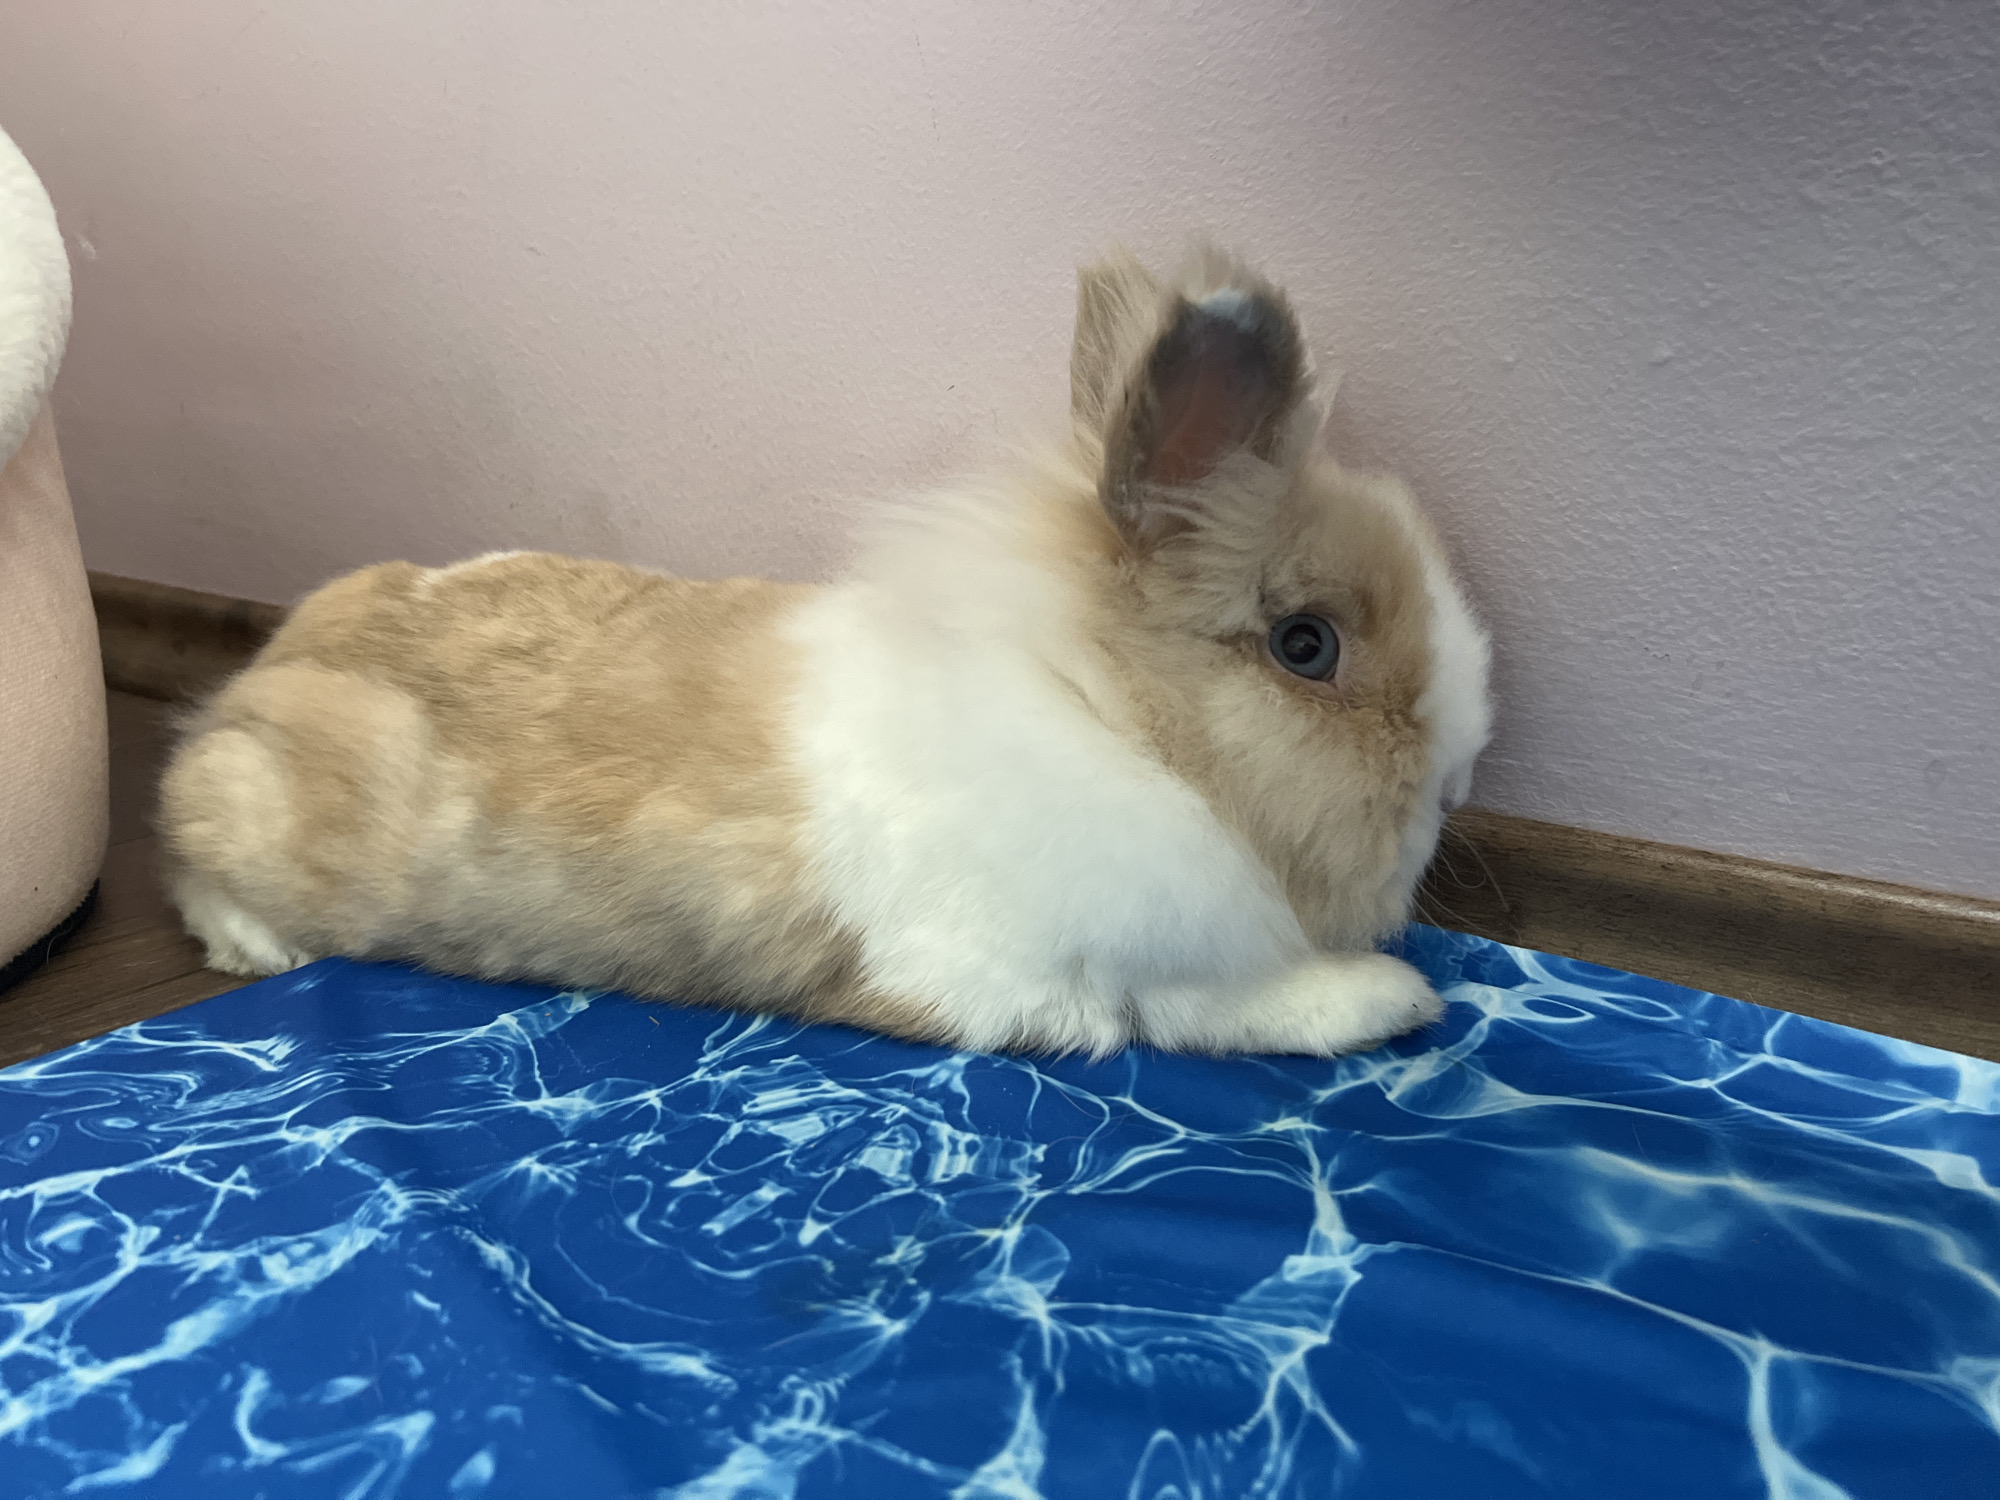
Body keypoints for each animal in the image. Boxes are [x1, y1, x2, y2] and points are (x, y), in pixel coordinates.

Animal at [159, 244, 1491, 1058]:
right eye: (1304, 645)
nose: (1456, 781)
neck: (1099, 711)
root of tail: (268, 668)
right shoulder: (1047, 975)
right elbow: (1213, 1007)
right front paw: (1393, 999)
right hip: (253, 814)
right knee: (185, 846)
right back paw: (254, 944)